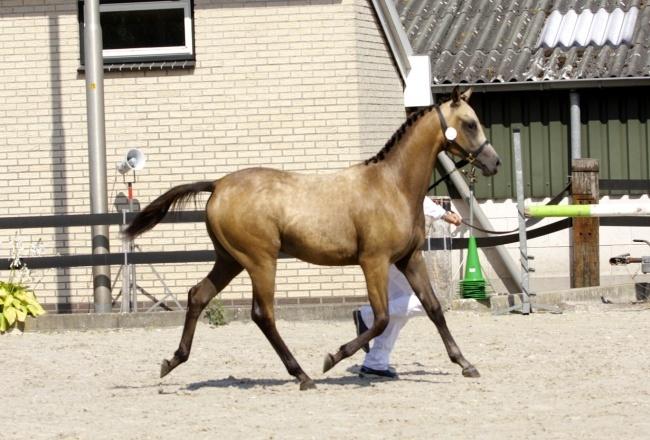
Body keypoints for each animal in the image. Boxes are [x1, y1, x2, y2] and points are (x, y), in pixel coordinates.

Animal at [126, 87, 502, 390]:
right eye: (470, 124)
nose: (494, 162)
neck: (392, 185)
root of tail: (218, 184)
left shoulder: (410, 258)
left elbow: (433, 307)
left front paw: (465, 364)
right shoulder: (374, 262)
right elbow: (381, 318)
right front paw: (333, 357)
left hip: (230, 259)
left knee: (198, 296)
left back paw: (172, 361)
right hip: (260, 260)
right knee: (263, 314)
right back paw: (303, 375)